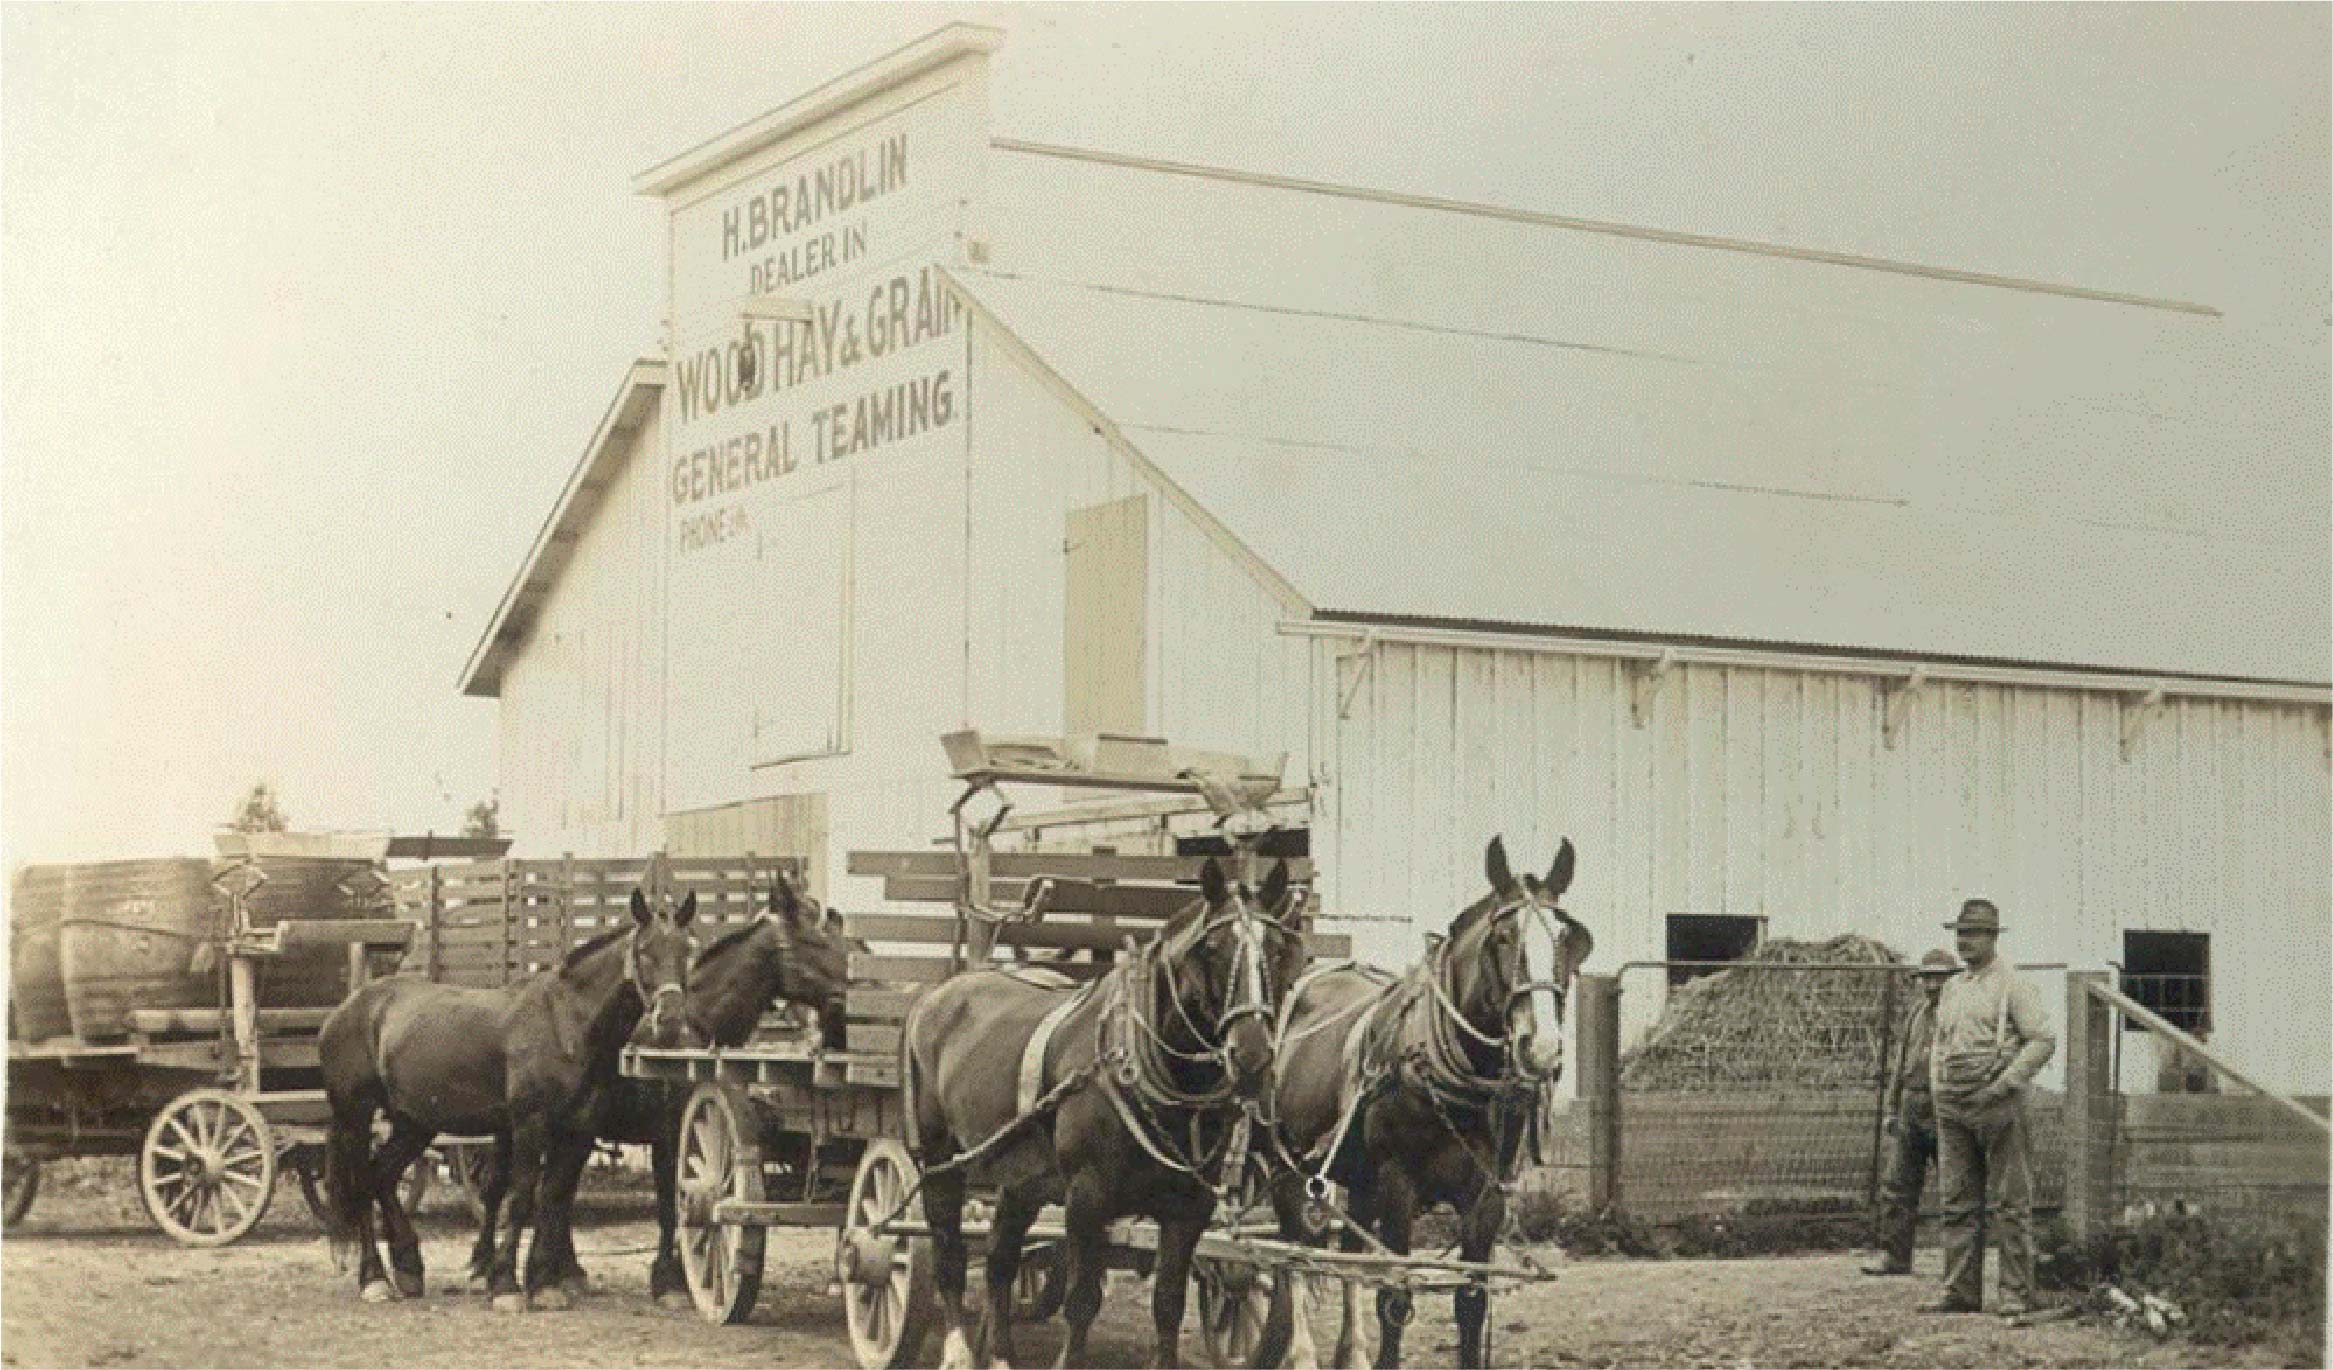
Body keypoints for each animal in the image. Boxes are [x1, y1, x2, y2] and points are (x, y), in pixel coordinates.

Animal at [319, 882, 699, 1316]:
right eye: (645, 951)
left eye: (687, 950)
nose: (670, 1020)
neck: (564, 1023)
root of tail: (347, 1009)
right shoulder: (530, 1125)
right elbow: (521, 1198)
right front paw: (505, 1285)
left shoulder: (578, 1129)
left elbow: (553, 1198)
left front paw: (544, 1283)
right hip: (356, 1116)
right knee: (362, 1184)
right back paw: (375, 1279)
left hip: (415, 1122)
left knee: (381, 1176)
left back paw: (408, 1267)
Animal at [454, 872, 858, 1316]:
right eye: (815, 941)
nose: (857, 993)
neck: (694, 1031)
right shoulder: (673, 1134)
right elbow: (670, 1205)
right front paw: (671, 1281)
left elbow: (663, 1205)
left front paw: (669, 1280)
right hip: (516, 1130)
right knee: (499, 1189)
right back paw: (485, 1266)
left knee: (555, 1198)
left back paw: (565, 1271)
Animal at [905, 863, 1315, 1362]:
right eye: (1213, 949)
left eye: (1276, 950)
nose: (1252, 1055)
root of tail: (937, 993)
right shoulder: (1087, 1198)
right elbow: (1082, 1301)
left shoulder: (1189, 1210)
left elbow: (1168, 1305)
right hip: (940, 1159)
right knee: (949, 1254)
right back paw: (959, 1351)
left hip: (1022, 1176)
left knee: (1001, 1258)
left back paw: (1000, 1354)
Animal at [1259, 835, 1586, 1370]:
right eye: (1502, 938)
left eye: (1568, 939)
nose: (1542, 1048)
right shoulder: (1399, 1184)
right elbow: (1395, 1295)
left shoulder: (1488, 1196)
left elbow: (1471, 1302)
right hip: (1286, 1167)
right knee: (1296, 1255)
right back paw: (1300, 1352)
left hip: (1359, 1180)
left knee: (1348, 1255)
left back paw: (1347, 1353)